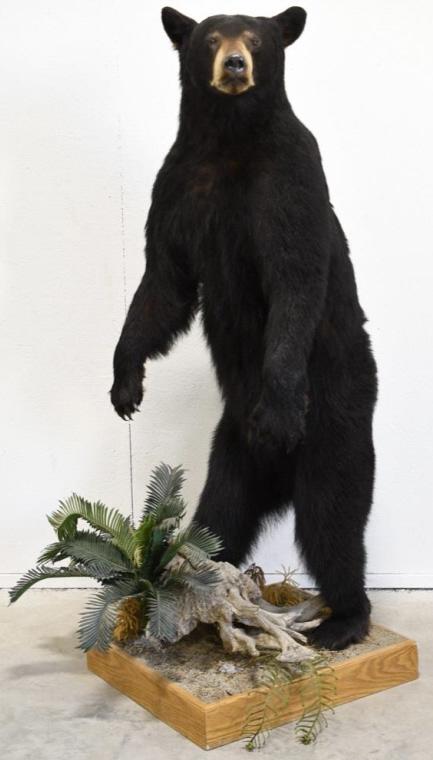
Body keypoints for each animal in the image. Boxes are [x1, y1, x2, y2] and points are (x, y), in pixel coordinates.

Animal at [110, 6, 378, 650]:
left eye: (256, 37)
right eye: (211, 36)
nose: (234, 64)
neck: (232, 142)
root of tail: (277, 477)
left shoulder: (290, 181)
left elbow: (294, 282)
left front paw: (277, 407)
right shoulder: (179, 185)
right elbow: (164, 282)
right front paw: (125, 382)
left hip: (337, 417)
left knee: (333, 518)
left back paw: (343, 619)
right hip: (229, 452)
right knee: (217, 521)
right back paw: (183, 596)